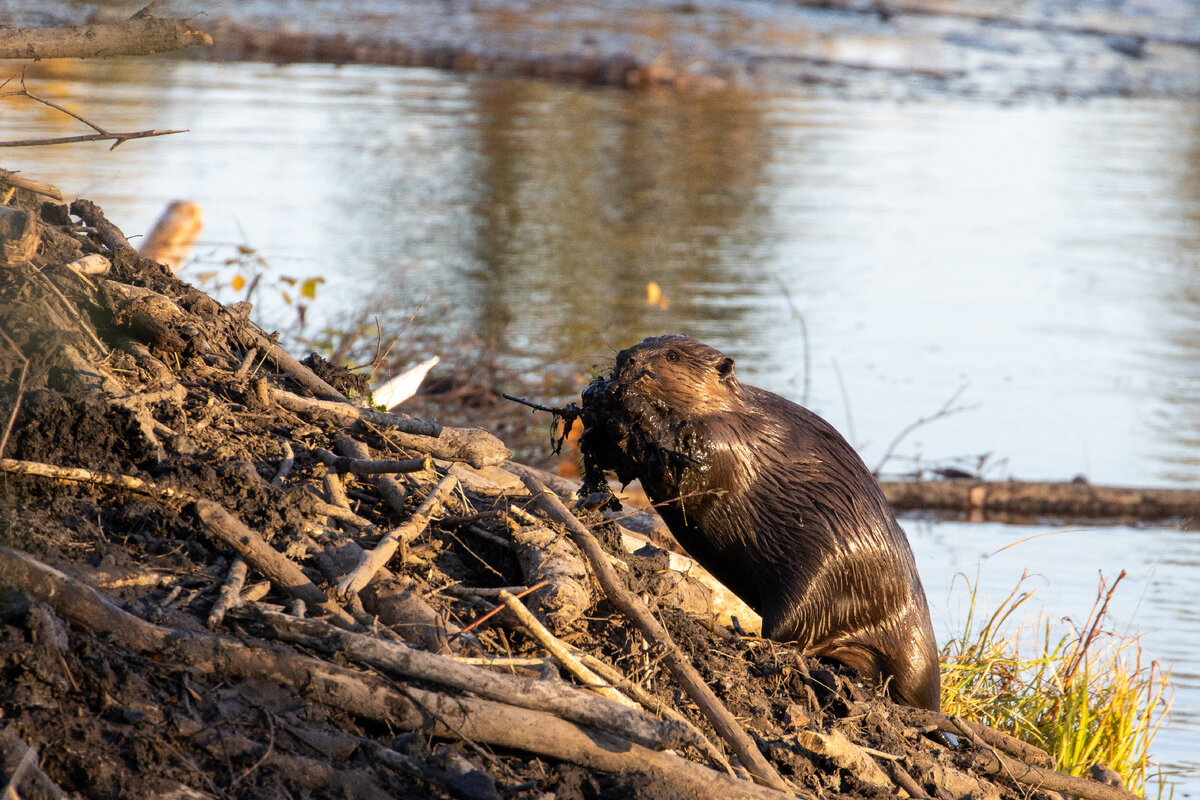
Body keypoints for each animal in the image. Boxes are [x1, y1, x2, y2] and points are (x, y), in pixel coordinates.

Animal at [576, 335, 940, 710]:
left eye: (673, 355)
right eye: (646, 341)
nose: (626, 358)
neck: (739, 416)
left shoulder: (724, 441)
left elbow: (687, 469)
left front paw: (628, 406)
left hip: (820, 581)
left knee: (795, 635)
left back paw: (748, 639)